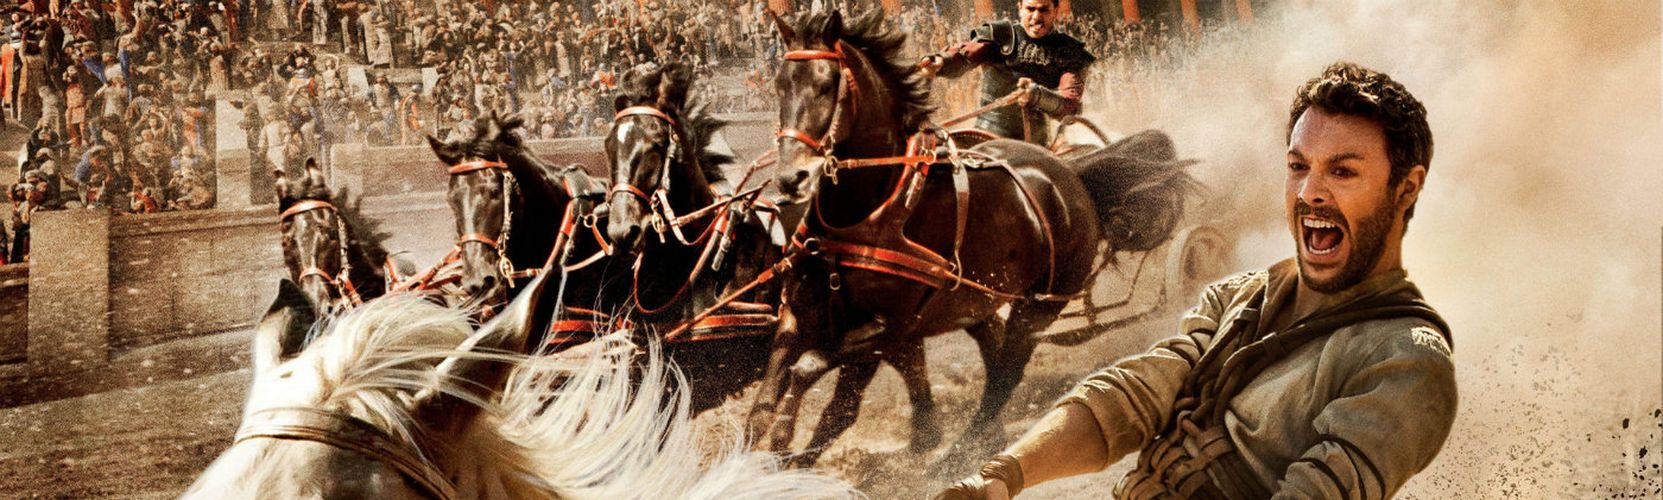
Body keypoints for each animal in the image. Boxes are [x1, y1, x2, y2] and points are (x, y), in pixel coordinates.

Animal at [750, 9, 1196, 470]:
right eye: (781, 85)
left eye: (826, 85)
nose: (790, 178)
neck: (867, 212)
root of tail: (1073, 174)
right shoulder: (800, 315)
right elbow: (766, 402)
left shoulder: (886, 328)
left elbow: (818, 385)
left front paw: (784, 448)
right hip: (978, 299)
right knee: (994, 350)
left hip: (1039, 306)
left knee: (1005, 373)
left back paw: (963, 449)